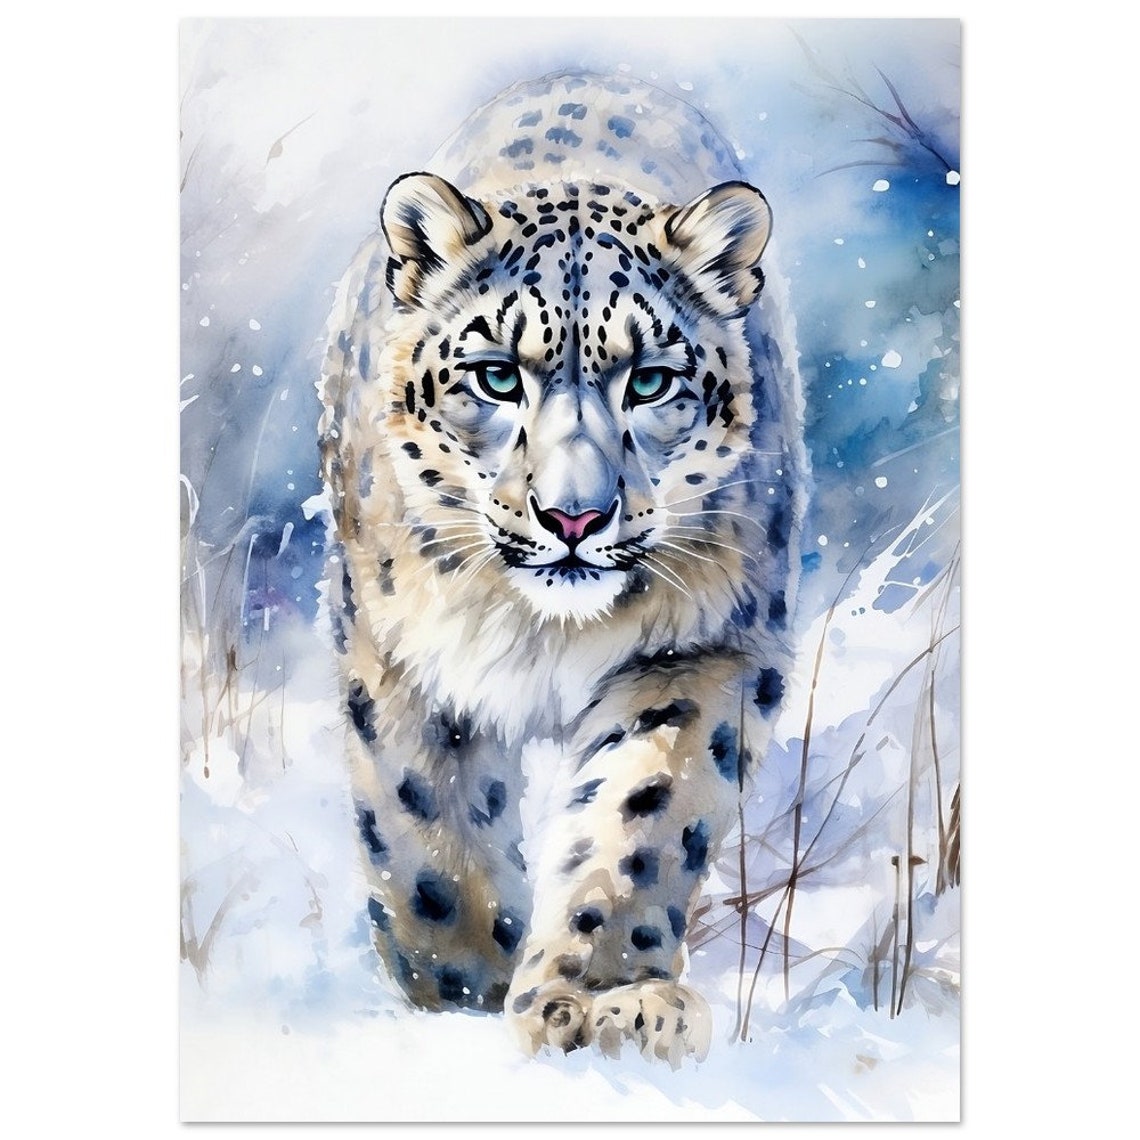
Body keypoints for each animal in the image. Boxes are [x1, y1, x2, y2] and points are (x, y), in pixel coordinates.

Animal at [317, 70, 807, 1066]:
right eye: (497, 375)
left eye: (650, 380)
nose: (573, 515)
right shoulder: (399, 657)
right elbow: (424, 826)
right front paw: (463, 983)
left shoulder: (703, 653)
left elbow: (640, 816)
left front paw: (605, 999)